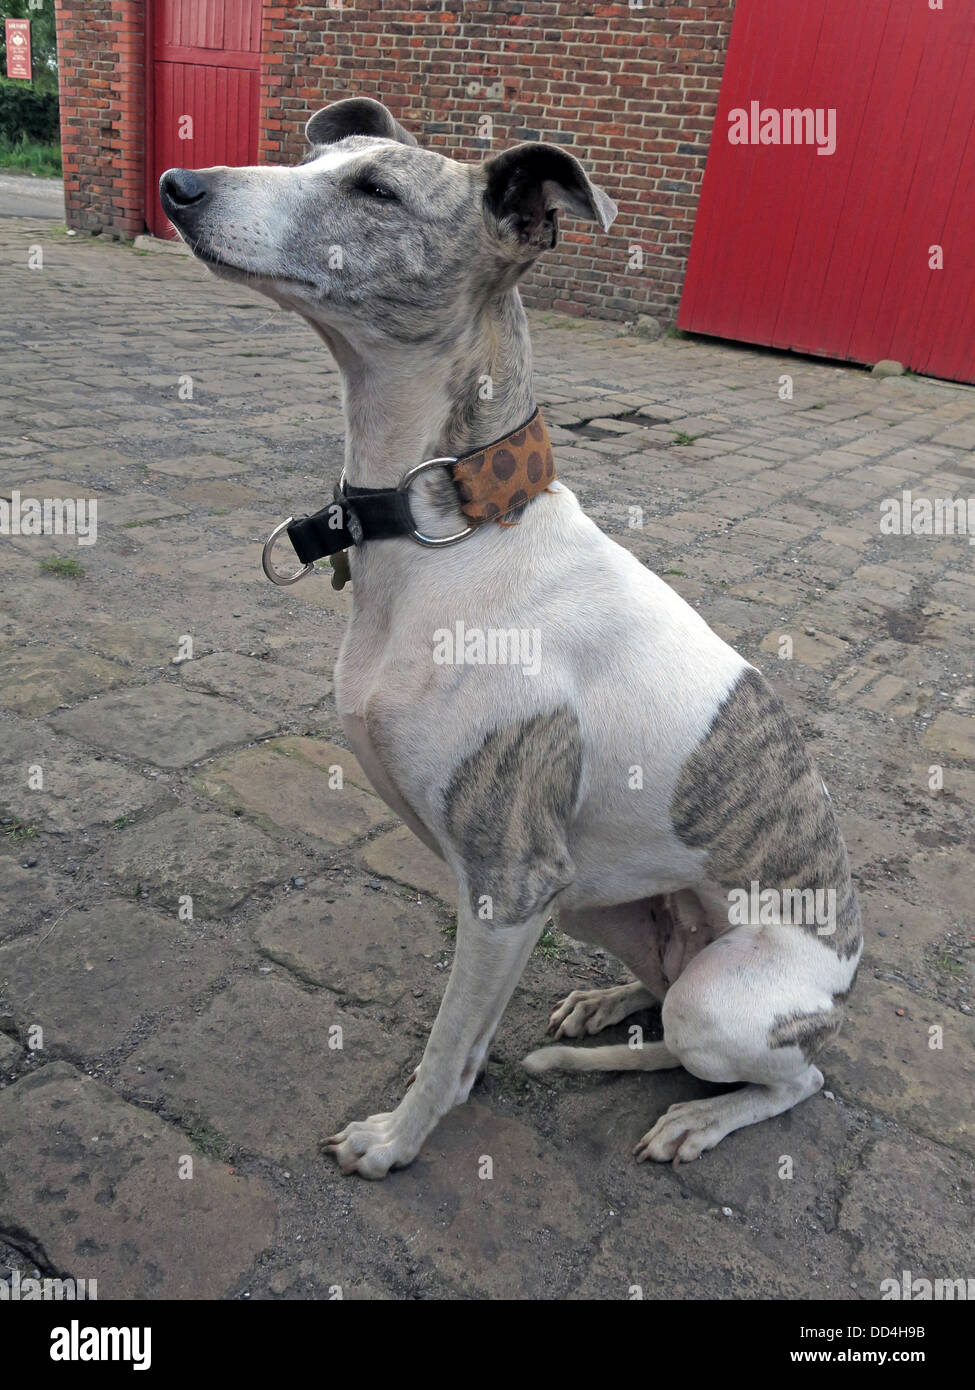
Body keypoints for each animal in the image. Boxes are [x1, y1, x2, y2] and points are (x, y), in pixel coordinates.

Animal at [159, 97, 856, 1178]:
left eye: (376, 190)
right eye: (317, 156)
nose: (177, 186)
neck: (454, 525)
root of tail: (842, 981)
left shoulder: (510, 884)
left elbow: (447, 1043)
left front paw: (396, 1140)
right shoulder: (526, 901)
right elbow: (470, 1038)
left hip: (720, 997)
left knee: (784, 1076)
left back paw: (698, 1115)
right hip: (607, 909)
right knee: (663, 998)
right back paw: (606, 1008)